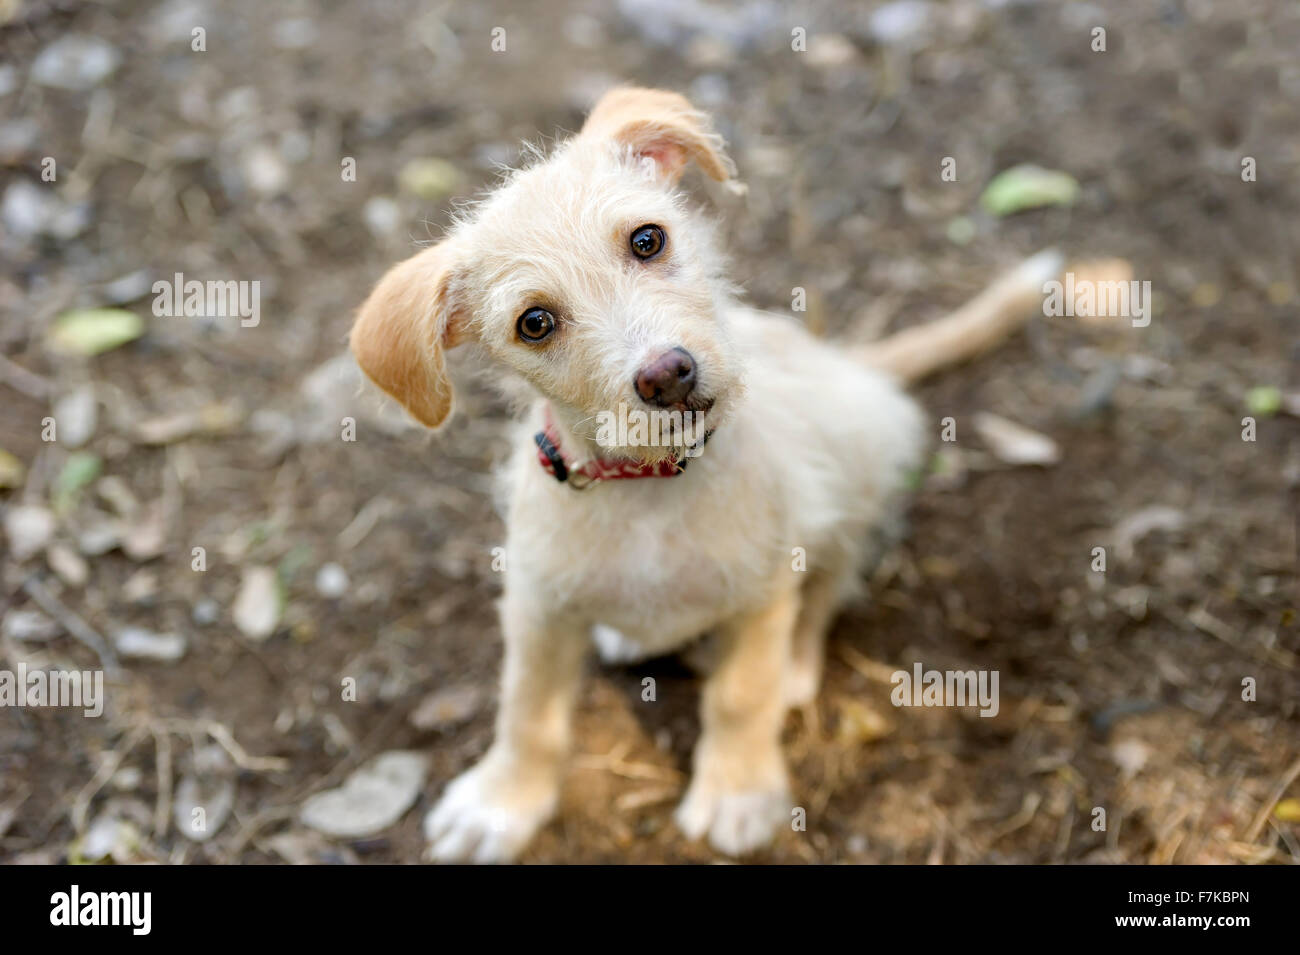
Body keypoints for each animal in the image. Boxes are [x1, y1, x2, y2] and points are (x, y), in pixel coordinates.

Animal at [351, 89, 1060, 862]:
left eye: (647, 240)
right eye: (534, 322)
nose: (668, 375)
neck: (648, 490)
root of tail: (846, 361)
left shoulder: (763, 589)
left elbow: (740, 694)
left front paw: (737, 792)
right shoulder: (538, 604)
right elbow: (527, 709)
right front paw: (500, 803)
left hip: (856, 465)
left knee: (828, 586)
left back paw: (795, 666)